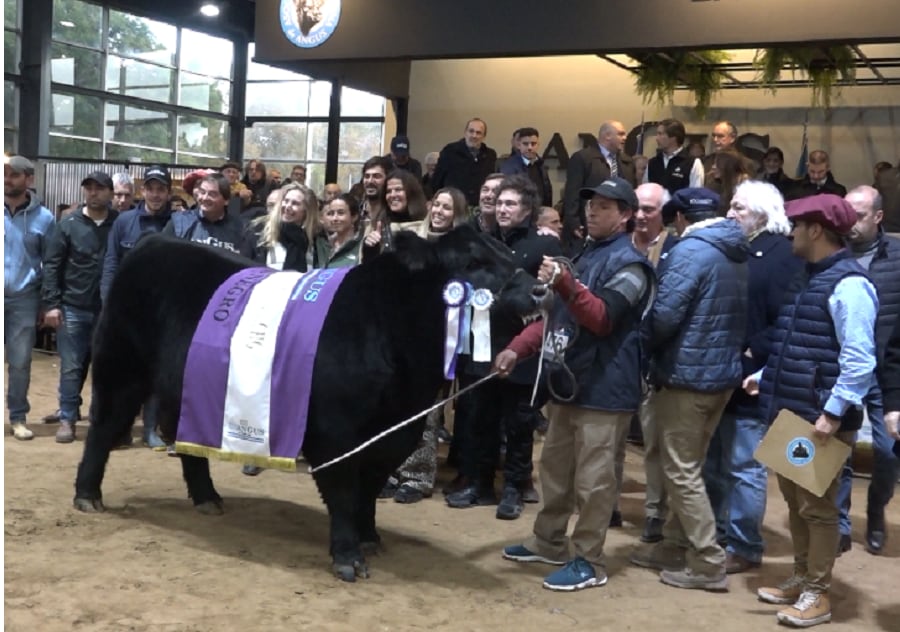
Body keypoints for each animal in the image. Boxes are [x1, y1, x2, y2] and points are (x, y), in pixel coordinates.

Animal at [74, 227, 540, 584]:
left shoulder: (396, 432)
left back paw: (207, 498)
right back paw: (87, 495)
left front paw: (370, 537)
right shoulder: (337, 432)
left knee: (189, 444)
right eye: (474, 260)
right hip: (121, 367)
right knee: (102, 426)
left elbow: (369, 490)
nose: (538, 288)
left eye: (511, 253)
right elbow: (344, 492)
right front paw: (349, 557)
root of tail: (154, 240)